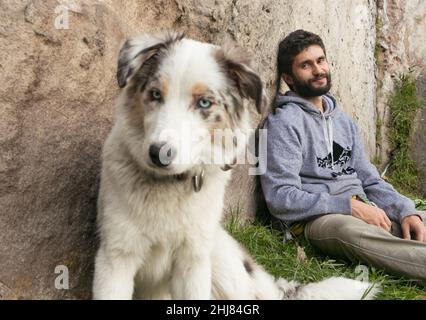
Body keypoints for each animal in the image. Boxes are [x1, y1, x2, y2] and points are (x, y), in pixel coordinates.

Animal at [93, 32, 380, 300]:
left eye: (204, 103)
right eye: (155, 94)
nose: (158, 155)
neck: (170, 188)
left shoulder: (194, 261)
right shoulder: (115, 258)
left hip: (221, 262)